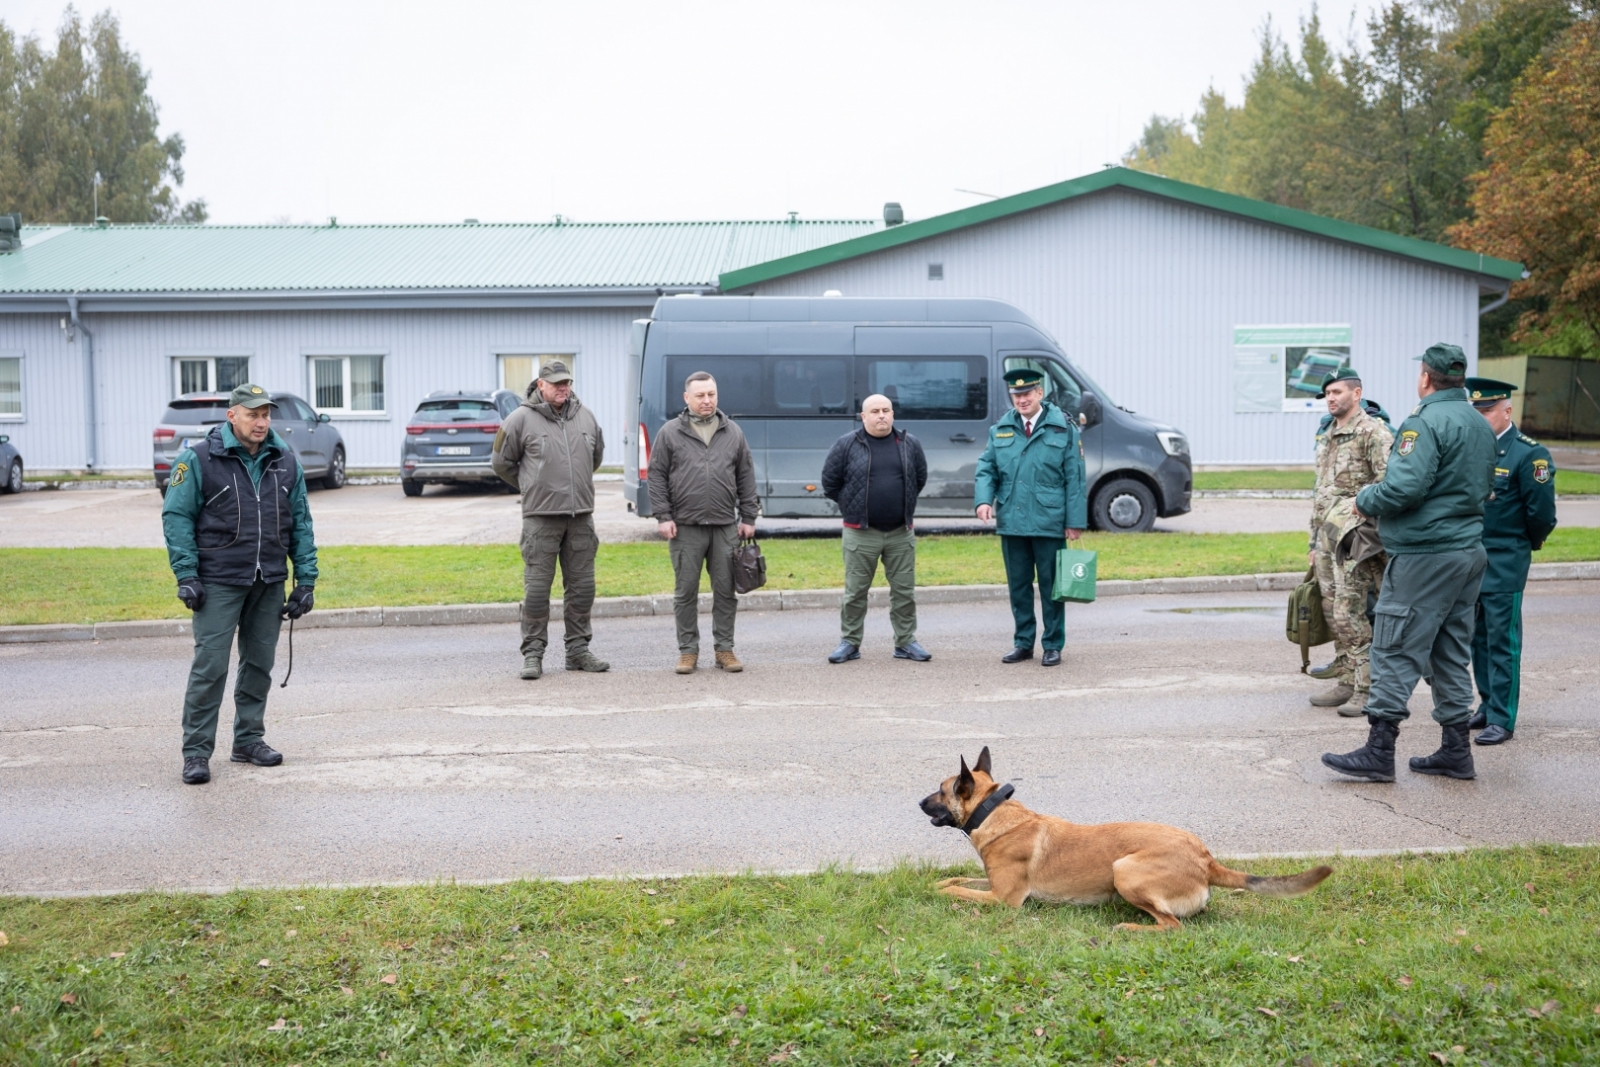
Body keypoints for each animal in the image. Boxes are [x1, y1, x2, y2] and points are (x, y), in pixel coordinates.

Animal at [921, 748, 1331, 927]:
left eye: (940, 790)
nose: (918, 802)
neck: (994, 812)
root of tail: (1207, 860)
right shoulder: (992, 884)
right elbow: (954, 879)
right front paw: (934, 882)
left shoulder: (1003, 899)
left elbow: (953, 891)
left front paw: (935, 893)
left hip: (1125, 870)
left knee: (1172, 926)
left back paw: (1130, 927)